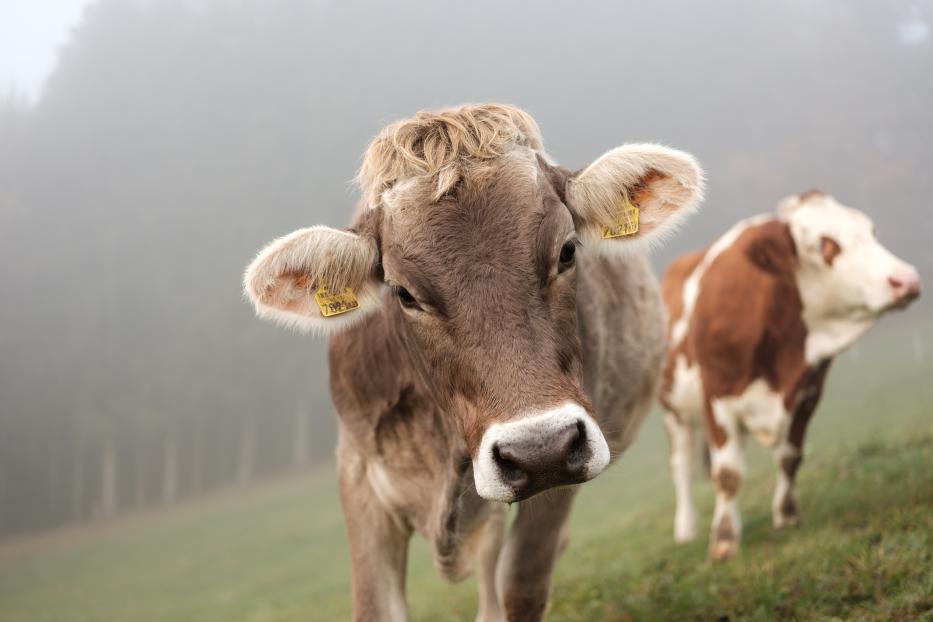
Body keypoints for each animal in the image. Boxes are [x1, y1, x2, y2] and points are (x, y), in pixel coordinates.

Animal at [243, 104, 704, 621]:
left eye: (567, 251)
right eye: (404, 293)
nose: (539, 448)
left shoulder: (564, 470)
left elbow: (520, 585)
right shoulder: (358, 474)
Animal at [659, 190, 921, 561]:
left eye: (871, 231)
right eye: (826, 243)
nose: (906, 280)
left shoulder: (808, 392)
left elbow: (789, 456)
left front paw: (787, 515)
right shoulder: (717, 396)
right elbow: (727, 473)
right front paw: (724, 541)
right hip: (674, 411)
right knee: (681, 466)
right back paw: (686, 529)